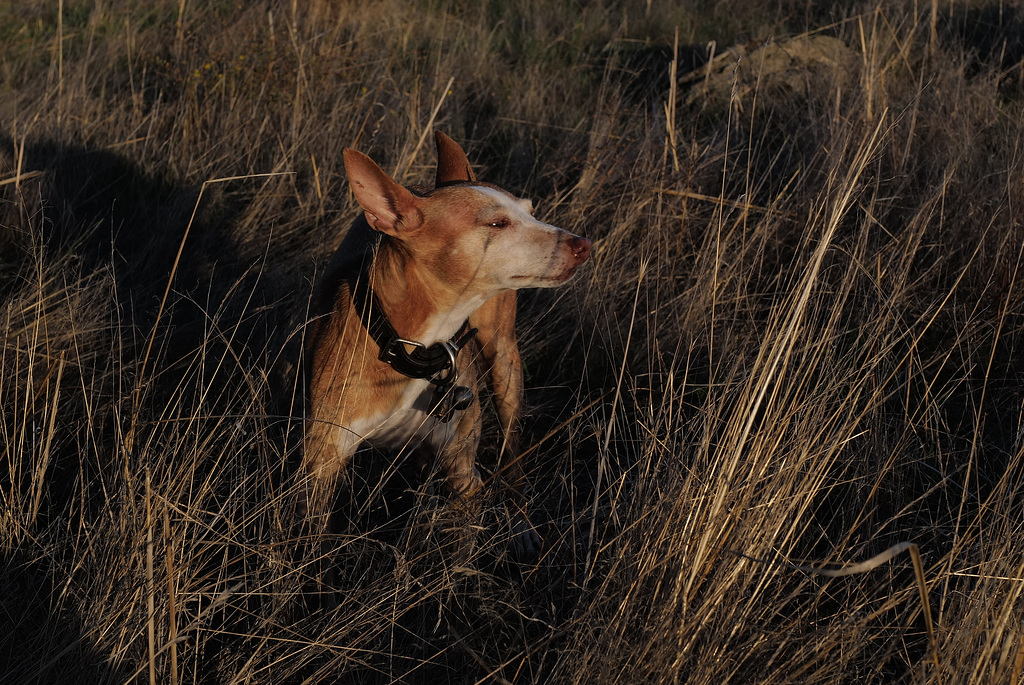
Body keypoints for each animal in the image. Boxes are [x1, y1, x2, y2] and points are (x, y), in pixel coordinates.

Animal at [301, 131, 593, 557]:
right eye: (497, 223)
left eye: (531, 212)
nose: (583, 245)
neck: (411, 345)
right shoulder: (321, 467)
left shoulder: (464, 473)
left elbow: (459, 555)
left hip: (504, 364)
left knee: (512, 455)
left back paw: (521, 525)